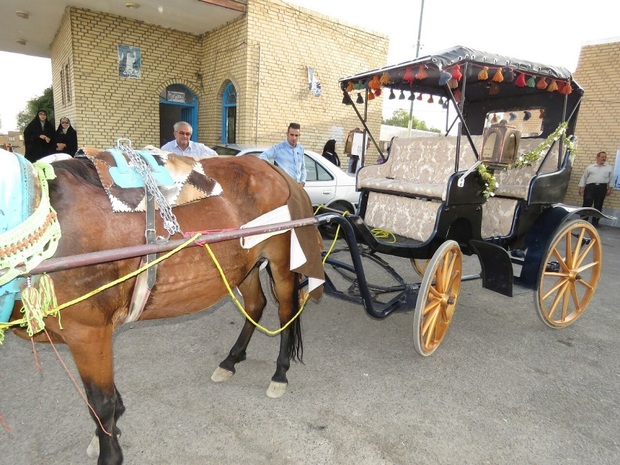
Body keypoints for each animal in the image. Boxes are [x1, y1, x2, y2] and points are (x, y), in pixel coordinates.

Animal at [4, 152, 324, 464]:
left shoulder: (88, 331)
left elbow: (100, 401)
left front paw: (110, 450)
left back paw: (279, 373)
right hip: (242, 263)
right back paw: (231, 360)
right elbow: (105, 399)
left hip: (281, 261)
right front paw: (109, 429)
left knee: (286, 312)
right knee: (256, 305)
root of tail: (277, 171)